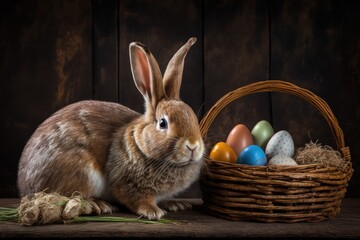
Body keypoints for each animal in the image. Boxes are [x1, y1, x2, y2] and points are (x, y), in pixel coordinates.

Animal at [17, 37, 205, 219]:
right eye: (162, 123)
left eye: (193, 118)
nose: (193, 145)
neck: (140, 145)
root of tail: (25, 186)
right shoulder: (126, 184)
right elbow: (137, 199)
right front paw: (153, 212)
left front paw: (175, 204)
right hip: (82, 172)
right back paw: (99, 205)